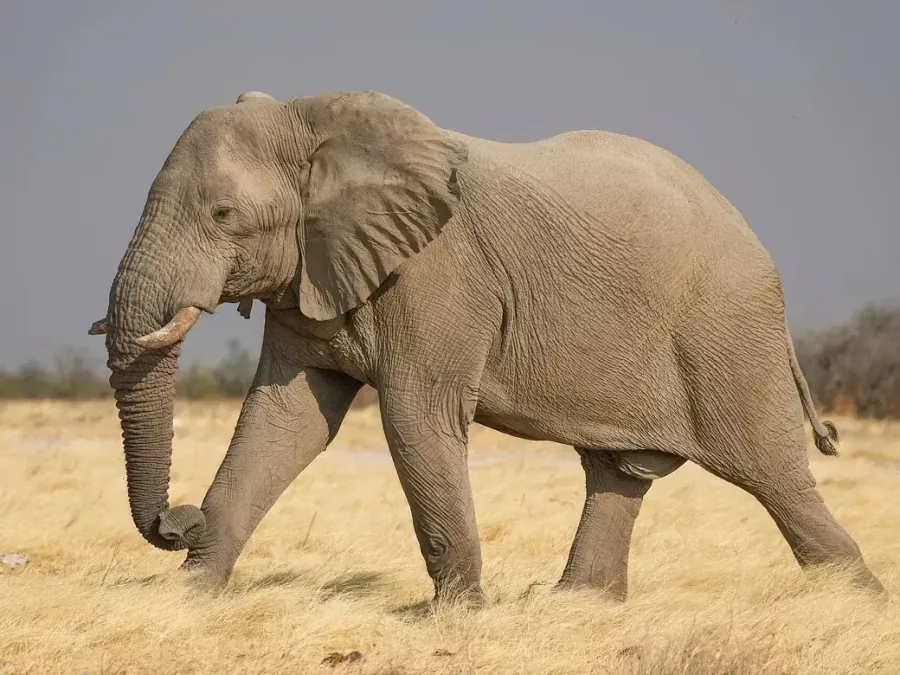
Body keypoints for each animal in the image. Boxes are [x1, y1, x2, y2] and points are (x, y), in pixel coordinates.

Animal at [89, 88, 885, 605]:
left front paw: (455, 617)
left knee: (774, 476)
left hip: (726, 331)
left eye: (224, 214)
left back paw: (858, 604)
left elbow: (415, 419)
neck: (315, 119)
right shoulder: (311, 271)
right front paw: (189, 601)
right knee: (619, 473)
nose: (177, 519)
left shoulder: (440, 274)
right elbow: (284, 421)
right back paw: (574, 608)